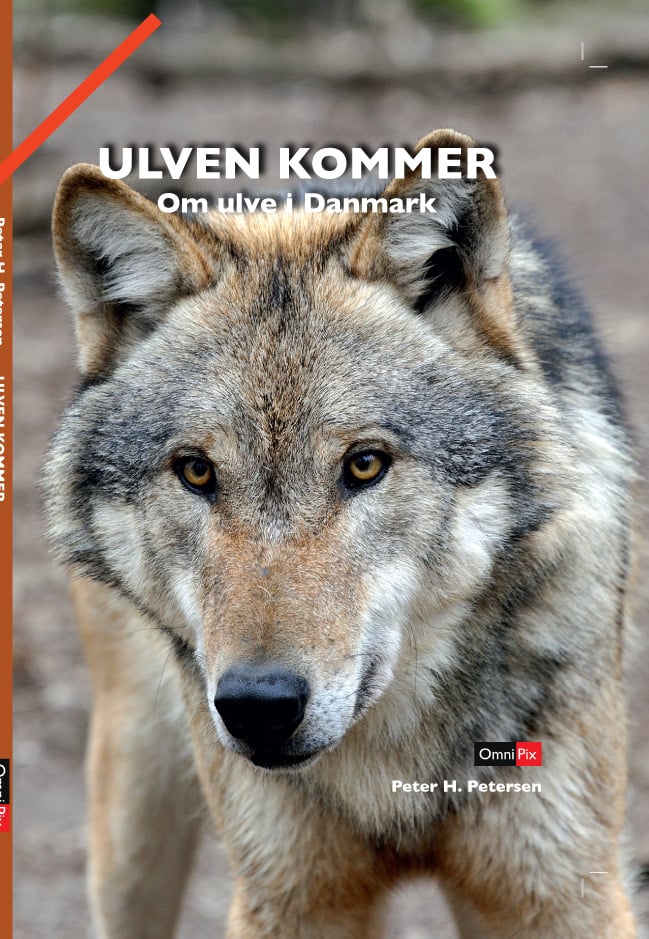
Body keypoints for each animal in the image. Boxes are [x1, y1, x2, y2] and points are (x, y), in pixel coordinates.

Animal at [46, 129, 639, 938]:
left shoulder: (560, 891)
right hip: (132, 811)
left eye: (364, 463)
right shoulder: (291, 897)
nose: (258, 706)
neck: (390, 772)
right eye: (196, 471)